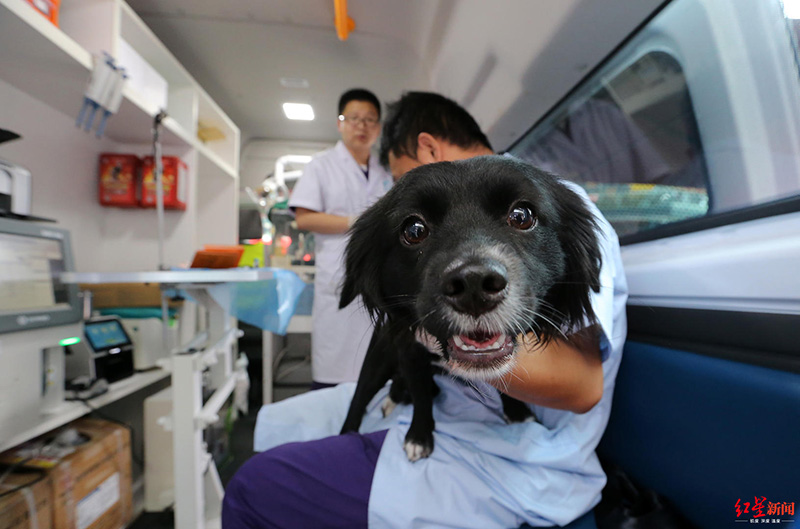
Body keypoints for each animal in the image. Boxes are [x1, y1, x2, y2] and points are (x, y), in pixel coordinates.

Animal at [336, 155, 600, 460]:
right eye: (414, 230)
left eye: (522, 216)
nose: (474, 284)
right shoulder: (410, 352)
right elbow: (421, 397)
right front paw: (419, 435)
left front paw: (516, 411)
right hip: (377, 361)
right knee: (359, 399)